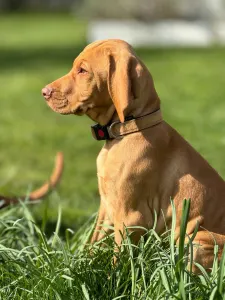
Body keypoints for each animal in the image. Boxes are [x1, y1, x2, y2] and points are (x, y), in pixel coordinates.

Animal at [41, 38, 225, 270]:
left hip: (199, 241)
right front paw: (81, 268)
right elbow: (93, 243)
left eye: (82, 70)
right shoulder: (107, 208)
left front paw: (112, 279)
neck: (128, 129)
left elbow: (119, 260)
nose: (44, 92)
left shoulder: (132, 219)